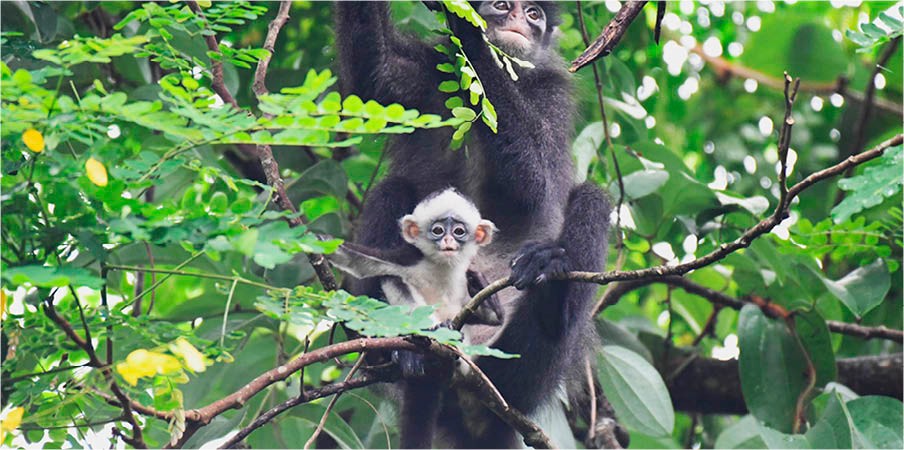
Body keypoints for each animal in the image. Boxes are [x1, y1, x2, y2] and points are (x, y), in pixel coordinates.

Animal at [330, 187, 502, 334]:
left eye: (458, 231)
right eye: (438, 230)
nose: (448, 240)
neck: (441, 267)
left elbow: (494, 320)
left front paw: (478, 282)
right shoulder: (408, 258)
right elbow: (358, 261)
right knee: (392, 279)